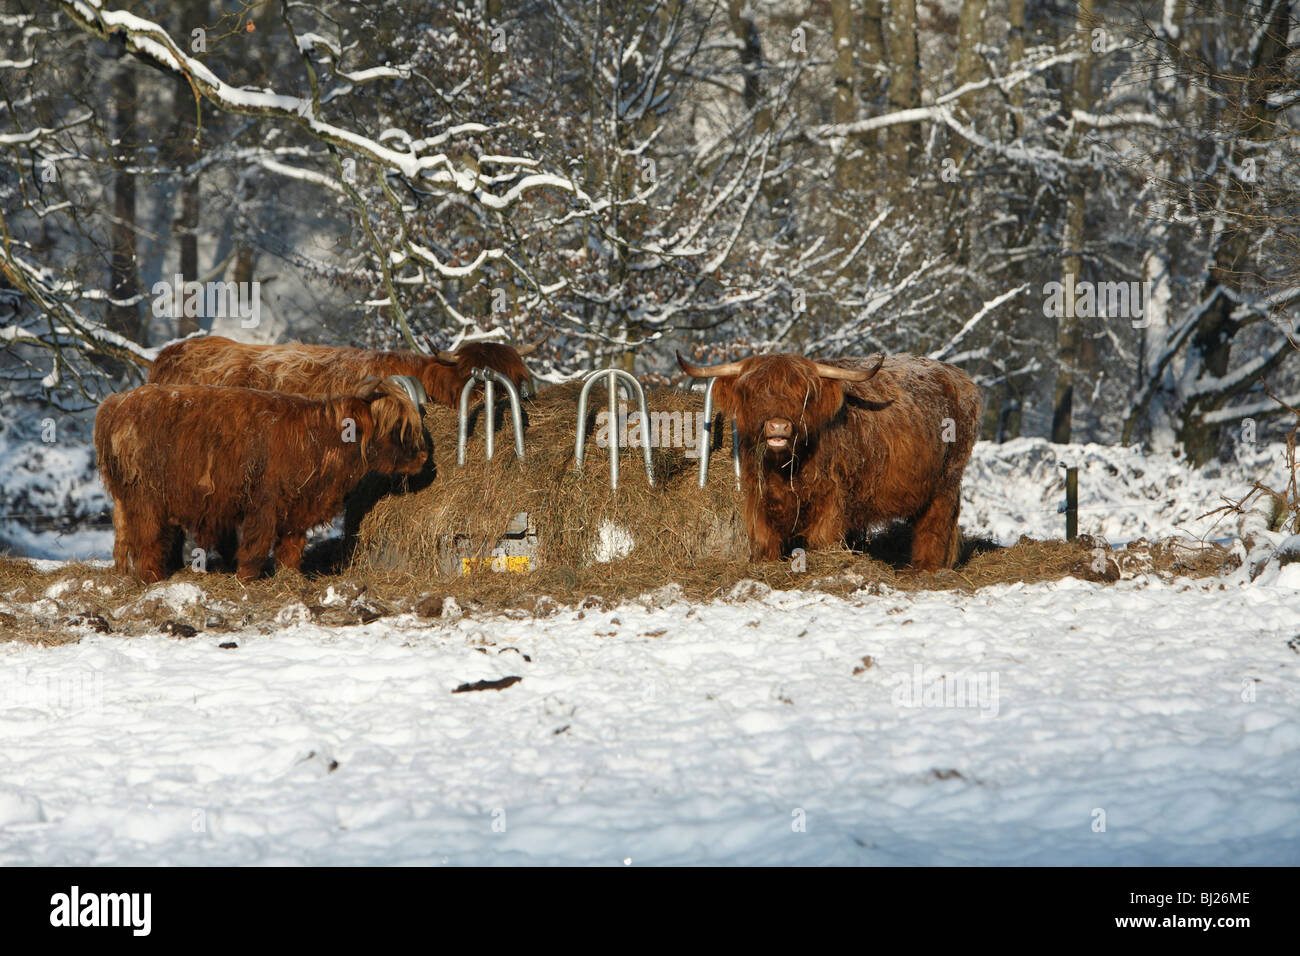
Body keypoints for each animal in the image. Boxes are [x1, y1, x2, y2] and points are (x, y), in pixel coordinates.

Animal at [94, 377, 428, 583]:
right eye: (396, 426)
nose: (424, 455)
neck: (320, 442)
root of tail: (116, 403)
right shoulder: (264, 504)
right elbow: (255, 547)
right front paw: (246, 579)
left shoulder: (297, 507)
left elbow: (291, 547)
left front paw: (290, 577)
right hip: (146, 498)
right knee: (147, 540)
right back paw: (152, 579)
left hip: (127, 499)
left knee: (125, 539)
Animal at [677, 351, 982, 570]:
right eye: (753, 392)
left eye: (802, 394)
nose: (778, 426)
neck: (786, 469)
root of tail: (958, 375)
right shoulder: (760, 496)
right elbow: (765, 538)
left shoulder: (833, 498)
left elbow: (823, 538)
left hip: (946, 481)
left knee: (935, 526)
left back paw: (926, 569)